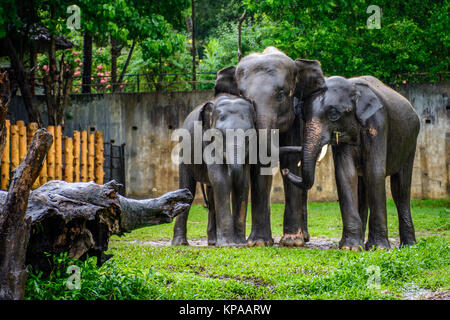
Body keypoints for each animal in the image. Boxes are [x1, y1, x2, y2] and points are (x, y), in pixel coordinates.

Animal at [171, 69, 256, 245]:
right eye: (219, 135)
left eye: (248, 137)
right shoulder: (208, 142)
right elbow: (221, 180)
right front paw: (230, 245)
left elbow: (243, 183)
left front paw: (240, 244)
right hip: (184, 152)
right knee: (187, 189)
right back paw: (180, 243)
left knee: (211, 194)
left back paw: (213, 242)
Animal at [284, 59, 420, 250]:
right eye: (303, 114)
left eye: (334, 114)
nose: (285, 171)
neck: (353, 87)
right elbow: (345, 174)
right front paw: (350, 247)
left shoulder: (378, 124)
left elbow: (375, 172)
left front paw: (378, 248)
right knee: (363, 187)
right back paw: (362, 243)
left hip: (411, 141)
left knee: (400, 188)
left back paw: (408, 245)